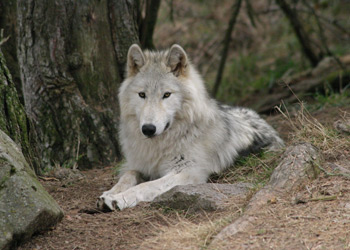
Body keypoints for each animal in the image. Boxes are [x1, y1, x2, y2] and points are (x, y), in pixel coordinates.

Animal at [96, 44, 284, 210]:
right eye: (142, 95)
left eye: (166, 95)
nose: (148, 128)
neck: (160, 145)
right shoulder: (139, 165)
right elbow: (127, 177)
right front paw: (109, 194)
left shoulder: (188, 172)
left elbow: (146, 186)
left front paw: (119, 199)